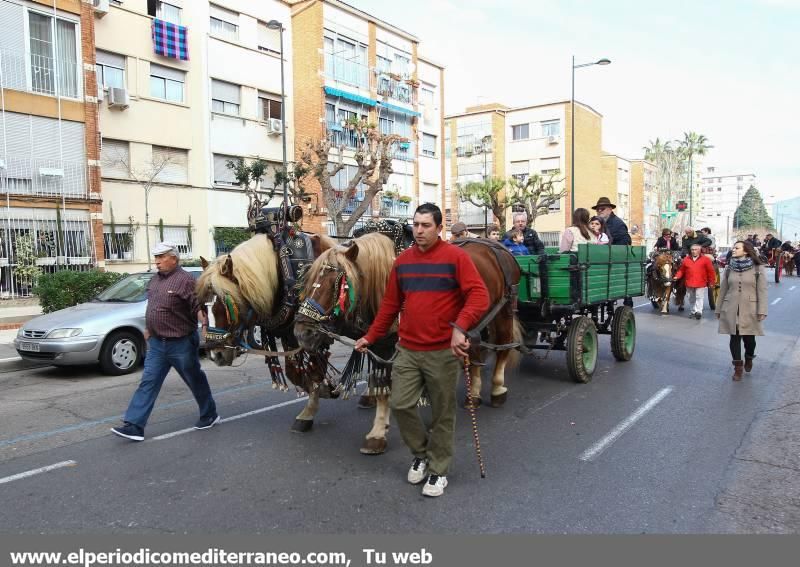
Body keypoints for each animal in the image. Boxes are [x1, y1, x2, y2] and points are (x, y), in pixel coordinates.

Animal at [294, 235, 524, 458]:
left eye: (337, 283)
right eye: (309, 280)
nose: (302, 333)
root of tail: (493, 244)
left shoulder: (388, 346)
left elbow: (385, 387)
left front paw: (377, 433)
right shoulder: (377, 344)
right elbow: (380, 382)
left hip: (503, 311)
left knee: (503, 346)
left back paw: (497, 389)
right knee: (475, 351)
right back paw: (473, 395)